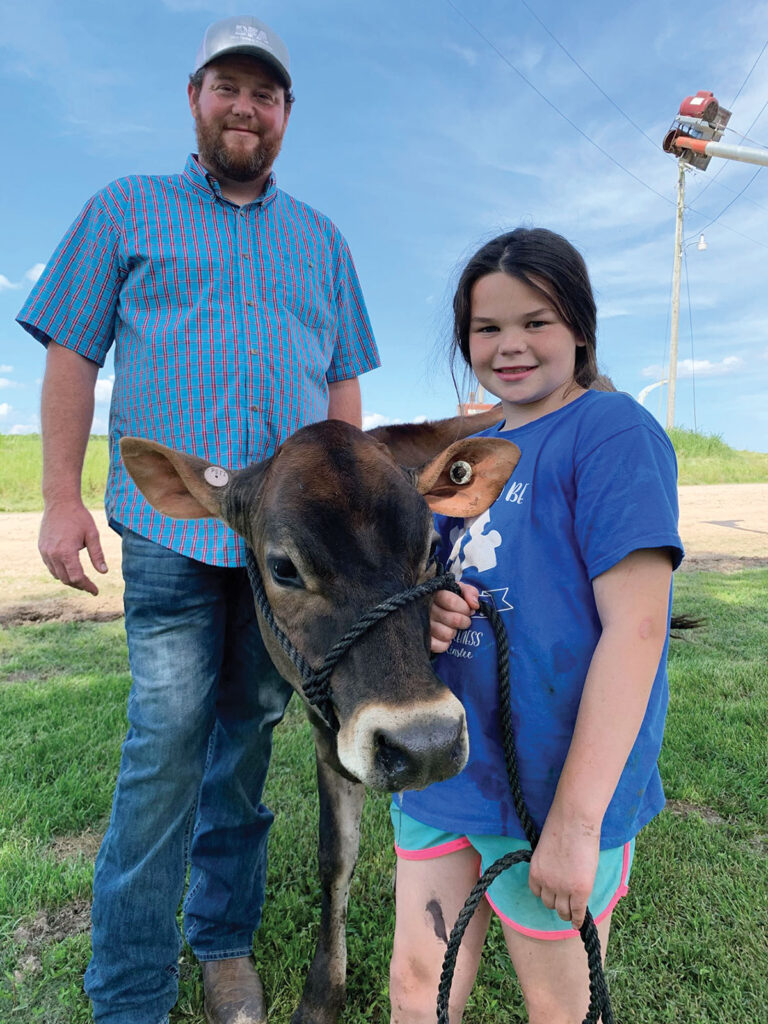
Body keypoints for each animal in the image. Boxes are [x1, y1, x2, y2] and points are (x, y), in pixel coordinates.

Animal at [120, 409, 520, 1024]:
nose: (427, 743)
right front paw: (322, 995)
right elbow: (336, 856)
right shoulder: (327, 728)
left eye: (432, 546)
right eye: (283, 567)